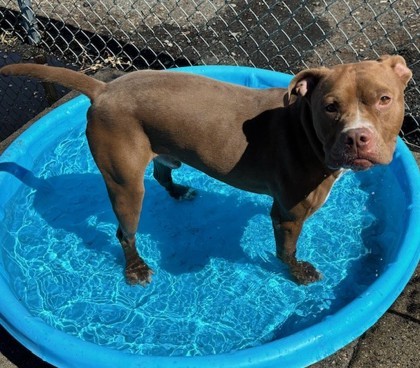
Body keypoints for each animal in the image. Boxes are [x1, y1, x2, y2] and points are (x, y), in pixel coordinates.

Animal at [0, 55, 412, 284]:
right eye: (330, 106)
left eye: (384, 99)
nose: (356, 138)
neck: (304, 129)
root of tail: (103, 90)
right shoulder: (288, 215)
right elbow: (286, 252)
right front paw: (297, 274)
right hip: (124, 185)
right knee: (124, 231)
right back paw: (135, 268)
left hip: (162, 151)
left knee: (162, 174)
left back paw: (180, 191)